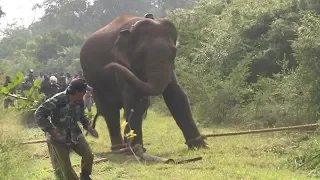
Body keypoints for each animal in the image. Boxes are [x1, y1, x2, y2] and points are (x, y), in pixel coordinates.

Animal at [80, 13, 209, 151]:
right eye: (141, 53)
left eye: (174, 51)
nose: (108, 66)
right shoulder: (122, 62)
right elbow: (134, 100)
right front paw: (137, 149)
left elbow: (176, 95)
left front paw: (199, 145)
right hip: (97, 86)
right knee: (110, 111)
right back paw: (120, 148)